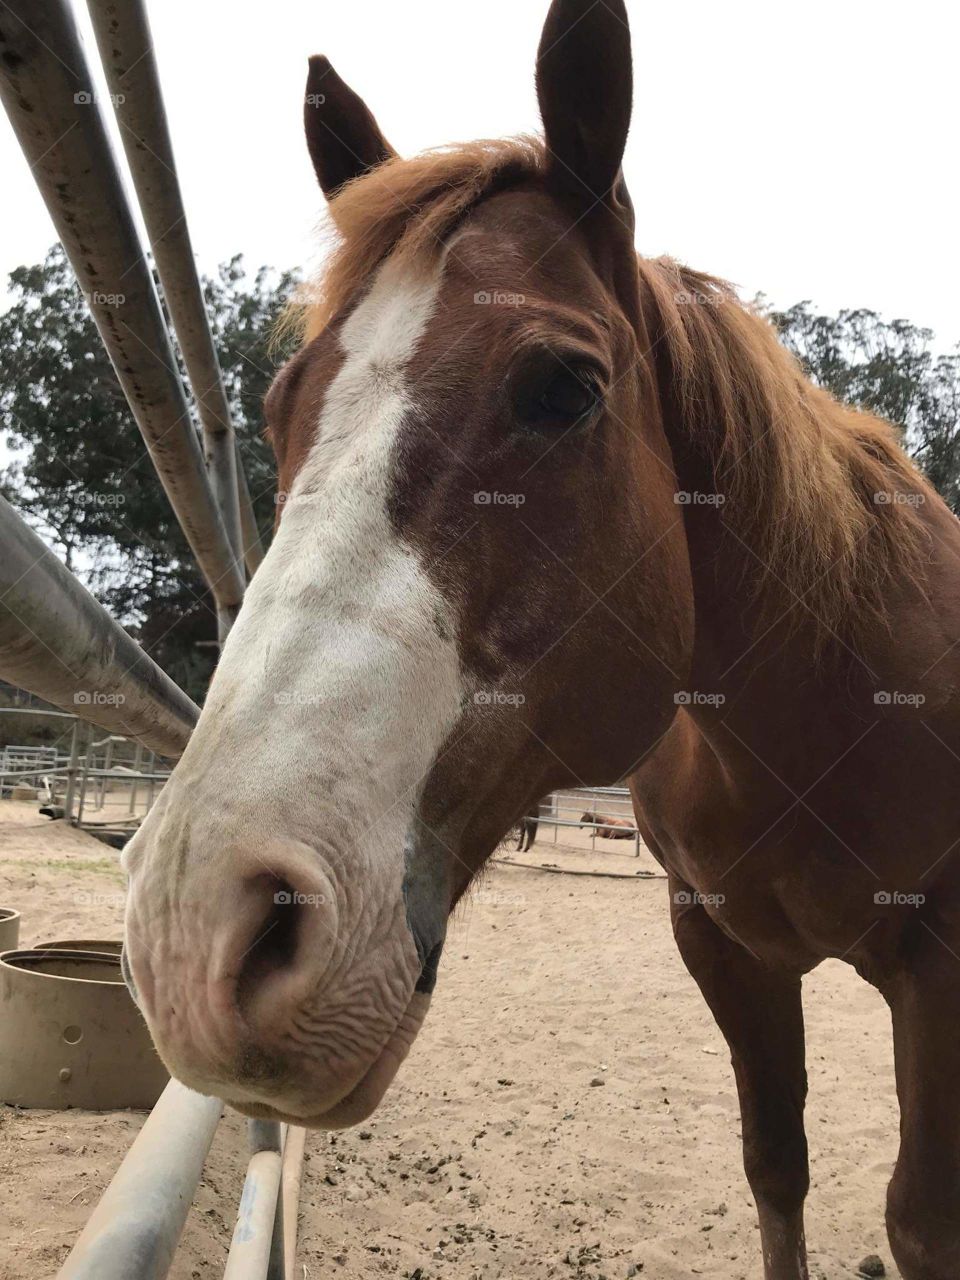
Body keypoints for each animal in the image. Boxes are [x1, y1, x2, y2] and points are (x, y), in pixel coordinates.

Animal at [120, 3, 960, 1277]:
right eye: (278, 405)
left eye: (564, 387)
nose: (195, 928)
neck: (821, 708)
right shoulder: (722, 943)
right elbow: (778, 1164)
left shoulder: (939, 964)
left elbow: (921, 1216)